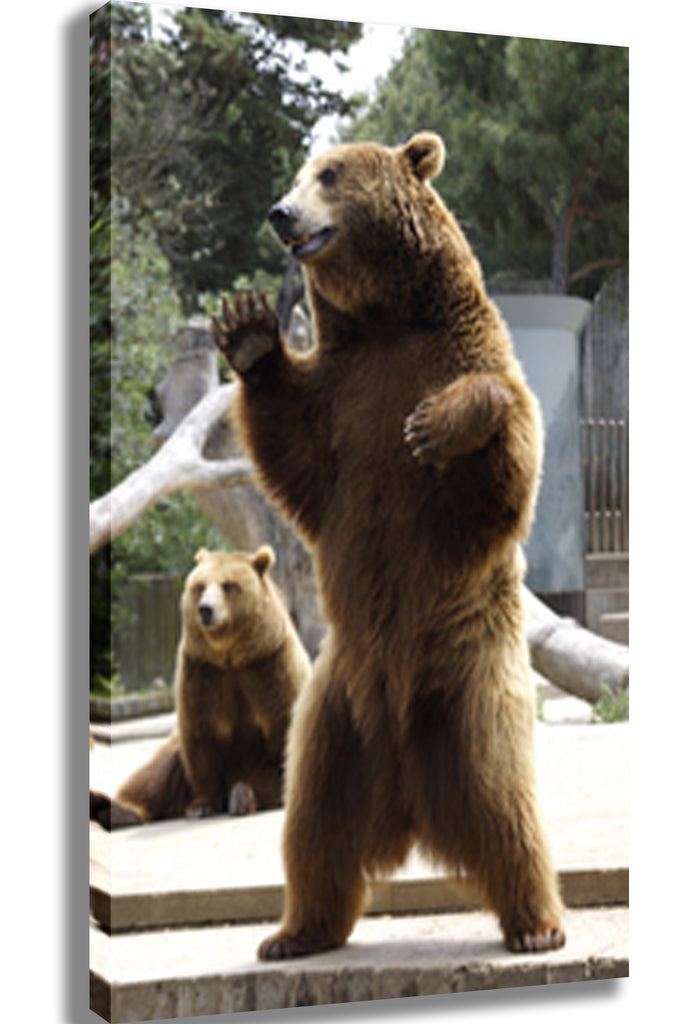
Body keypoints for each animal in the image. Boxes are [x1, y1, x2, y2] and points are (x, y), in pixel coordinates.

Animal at [90, 545, 311, 828]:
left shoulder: (270, 667)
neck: (231, 655)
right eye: (200, 586)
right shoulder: (203, 673)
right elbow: (201, 736)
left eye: (228, 585)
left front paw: (240, 796)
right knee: (157, 773)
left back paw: (241, 796)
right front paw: (202, 804)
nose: (206, 609)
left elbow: (282, 735)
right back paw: (120, 810)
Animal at [210, 132, 565, 956]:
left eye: (330, 174)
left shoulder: (463, 359)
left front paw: (437, 424)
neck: (386, 321)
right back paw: (294, 932)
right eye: (300, 173)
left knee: (507, 804)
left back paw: (536, 924)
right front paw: (249, 331)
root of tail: (408, 798)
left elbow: (502, 466)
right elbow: (292, 445)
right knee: (313, 826)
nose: (280, 212)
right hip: (331, 711)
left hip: (471, 680)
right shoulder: (341, 403)